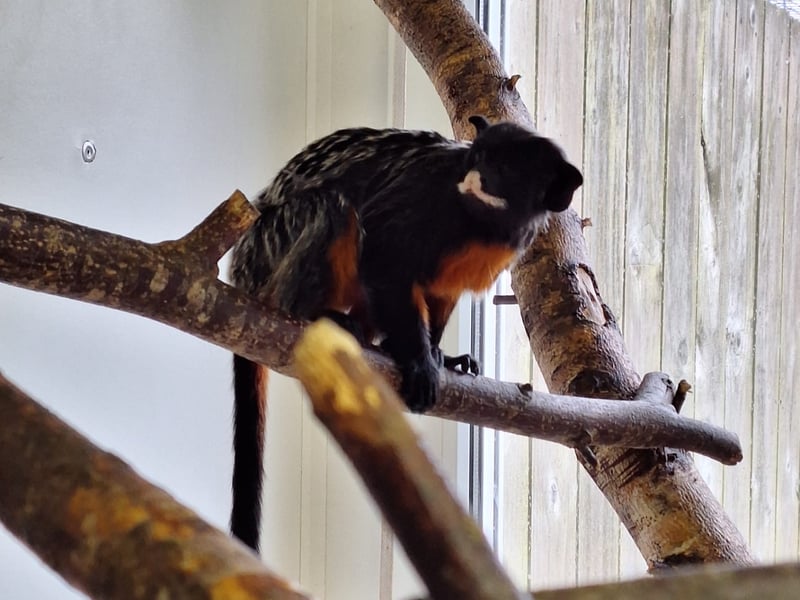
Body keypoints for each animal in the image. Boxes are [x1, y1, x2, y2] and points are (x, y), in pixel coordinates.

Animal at [228, 116, 583, 551]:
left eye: (505, 169)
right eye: (479, 158)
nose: (475, 177)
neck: (479, 220)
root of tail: (242, 273)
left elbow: (439, 291)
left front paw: (440, 356)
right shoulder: (421, 196)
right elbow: (384, 254)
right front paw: (418, 361)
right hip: (269, 250)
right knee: (331, 208)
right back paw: (316, 317)